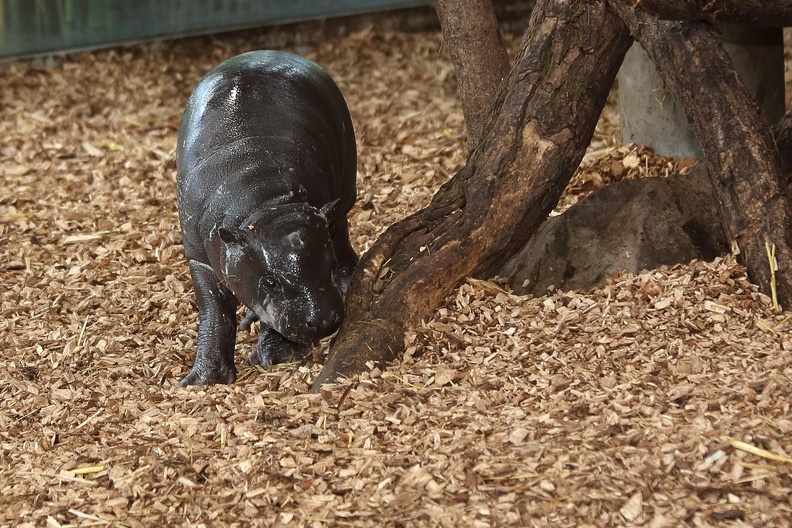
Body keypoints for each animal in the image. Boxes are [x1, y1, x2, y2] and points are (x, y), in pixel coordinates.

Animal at [178, 50, 358, 388]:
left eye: (327, 265)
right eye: (271, 282)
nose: (324, 320)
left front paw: (274, 356)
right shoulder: (199, 258)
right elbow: (214, 312)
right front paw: (203, 380)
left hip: (344, 191)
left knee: (342, 231)